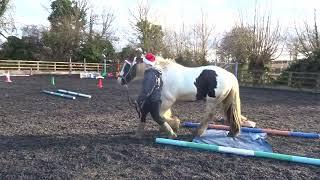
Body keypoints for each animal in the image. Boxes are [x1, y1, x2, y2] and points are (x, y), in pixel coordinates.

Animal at [119, 56, 251, 136]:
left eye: (128, 65)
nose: (119, 80)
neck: (161, 74)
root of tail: (229, 75)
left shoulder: (168, 100)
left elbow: (161, 115)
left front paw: (174, 125)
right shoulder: (163, 101)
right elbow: (162, 115)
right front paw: (169, 127)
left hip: (212, 101)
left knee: (209, 116)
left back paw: (198, 132)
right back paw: (232, 132)